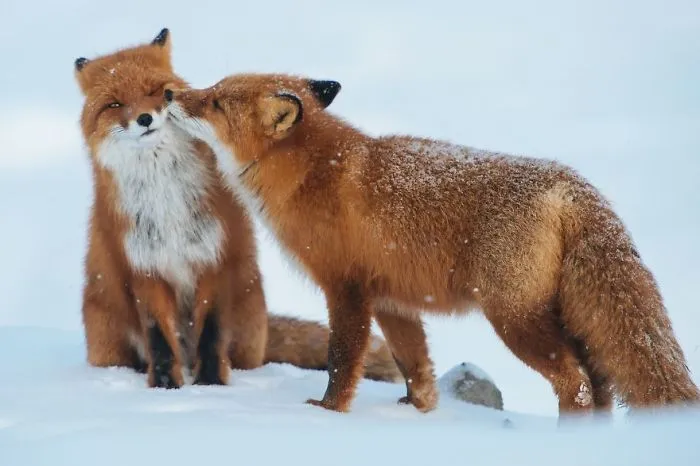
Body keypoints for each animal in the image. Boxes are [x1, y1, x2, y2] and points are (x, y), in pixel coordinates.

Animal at [73, 28, 402, 389]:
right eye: (114, 104)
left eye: (154, 91)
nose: (145, 119)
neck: (167, 199)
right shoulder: (145, 268)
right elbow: (159, 339)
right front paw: (166, 388)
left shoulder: (217, 256)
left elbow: (211, 332)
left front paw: (212, 386)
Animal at [164, 72, 700, 416]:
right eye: (210, 89)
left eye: (214, 102)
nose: (170, 93)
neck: (313, 174)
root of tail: (570, 184)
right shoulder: (393, 300)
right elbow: (414, 366)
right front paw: (417, 413)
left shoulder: (346, 289)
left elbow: (342, 361)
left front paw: (327, 412)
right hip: (560, 316)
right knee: (601, 383)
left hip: (515, 320)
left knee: (580, 385)